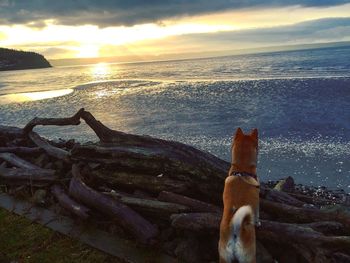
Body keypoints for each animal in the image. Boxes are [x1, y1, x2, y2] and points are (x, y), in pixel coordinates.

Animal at [219, 127, 260, 262]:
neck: (242, 170)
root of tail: (235, 228)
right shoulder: (257, 204)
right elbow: (257, 215)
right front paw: (258, 223)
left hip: (224, 256)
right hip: (249, 256)